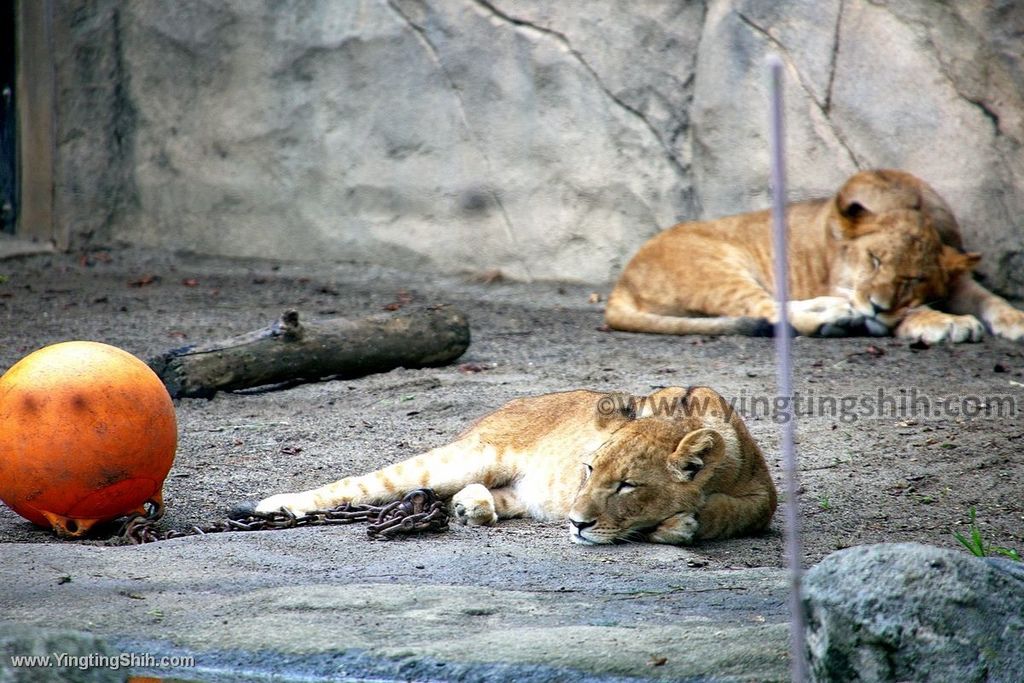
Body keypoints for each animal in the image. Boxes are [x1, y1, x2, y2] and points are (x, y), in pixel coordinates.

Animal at [256, 387, 774, 548]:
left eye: (627, 485)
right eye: (588, 469)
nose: (576, 523)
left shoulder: (763, 496)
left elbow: (736, 511)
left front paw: (684, 522)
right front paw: (678, 525)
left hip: (514, 490)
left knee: (476, 496)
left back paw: (471, 508)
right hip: (467, 456)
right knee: (364, 483)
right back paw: (277, 507)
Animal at [606, 168, 1024, 344]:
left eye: (914, 278)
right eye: (874, 259)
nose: (876, 306)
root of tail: (621, 282)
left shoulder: (958, 274)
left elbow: (990, 298)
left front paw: (1014, 319)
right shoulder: (843, 281)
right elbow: (908, 313)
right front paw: (944, 322)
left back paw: (839, 314)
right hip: (718, 268)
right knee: (767, 312)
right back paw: (836, 321)